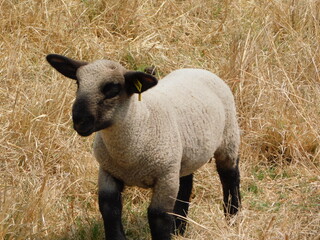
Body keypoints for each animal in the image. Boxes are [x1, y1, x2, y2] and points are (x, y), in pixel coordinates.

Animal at [45, 54, 240, 240]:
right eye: (78, 83)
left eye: (113, 89)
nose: (79, 120)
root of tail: (196, 69)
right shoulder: (108, 171)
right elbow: (109, 209)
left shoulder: (165, 177)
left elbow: (158, 216)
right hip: (184, 154)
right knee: (186, 184)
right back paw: (178, 229)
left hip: (229, 138)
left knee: (230, 177)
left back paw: (232, 219)